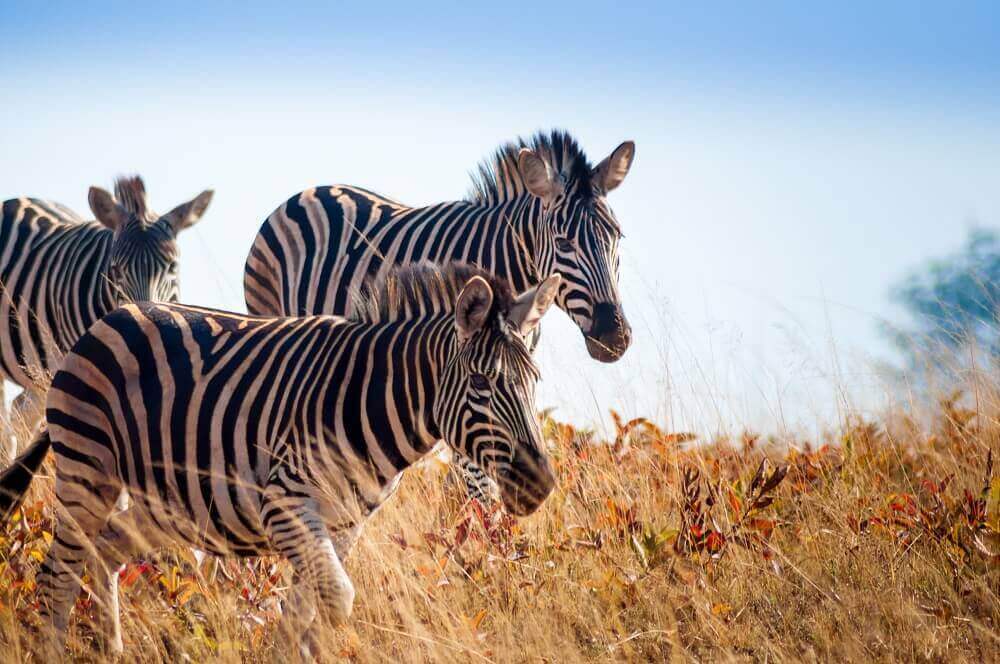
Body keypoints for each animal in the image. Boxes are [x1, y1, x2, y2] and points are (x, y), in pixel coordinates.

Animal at [0, 260, 564, 652]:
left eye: (536, 380)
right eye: (483, 383)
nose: (540, 484)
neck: (370, 400)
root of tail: (110, 317)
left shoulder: (345, 523)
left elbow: (303, 615)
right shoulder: (286, 504)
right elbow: (336, 601)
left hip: (169, 502)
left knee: (107, 550)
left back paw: (111, 649)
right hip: (87, 469)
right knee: (57, 576)